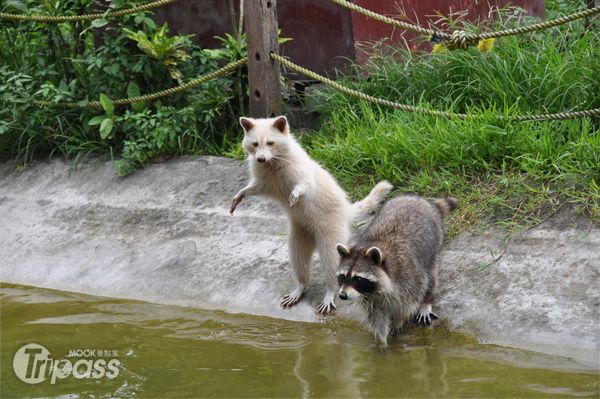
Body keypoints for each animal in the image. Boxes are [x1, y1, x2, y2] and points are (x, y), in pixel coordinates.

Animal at [336, 196, 458, 346]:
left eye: (357, 278)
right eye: (342, 276)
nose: (342, 295)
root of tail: (421, 200)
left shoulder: (409, 276)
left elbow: (409, 304)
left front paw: (398, 320)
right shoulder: (368, 298)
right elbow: (376, 318)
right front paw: (381, 343)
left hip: (434, 244)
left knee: (431, 277)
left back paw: (426, 301)